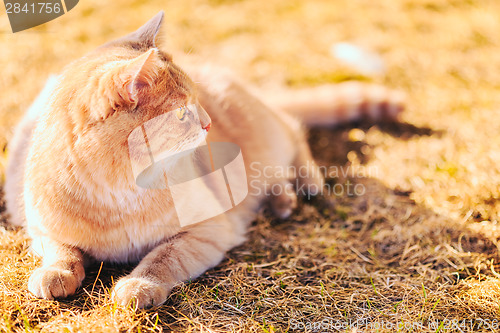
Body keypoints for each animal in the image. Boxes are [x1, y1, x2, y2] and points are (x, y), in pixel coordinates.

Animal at [3, 13, 404, 308]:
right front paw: (55, 275)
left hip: (268, 138)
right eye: (183, 113)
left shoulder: (206, 231)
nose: (209, 123)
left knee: (293, 132)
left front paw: (138, 286)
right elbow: (62, 253)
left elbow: (162, 259)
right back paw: (283, 199)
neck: (120, 192)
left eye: (197, 102)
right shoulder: (40, 229)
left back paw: (303, 189)